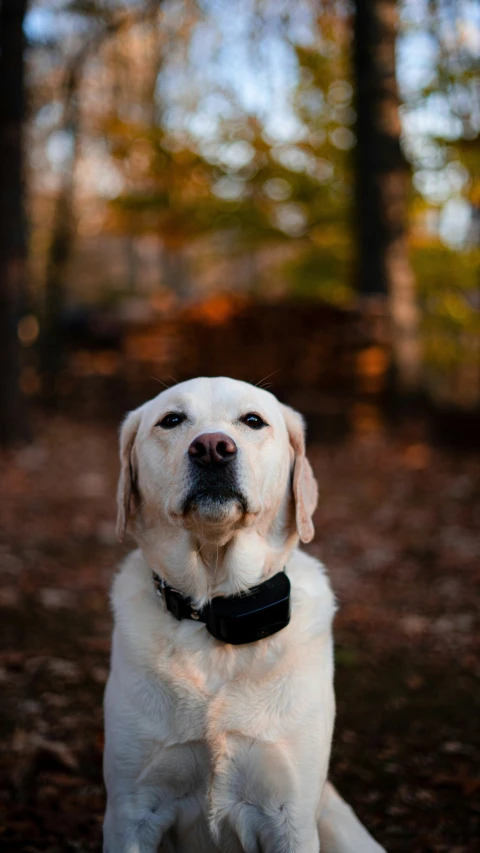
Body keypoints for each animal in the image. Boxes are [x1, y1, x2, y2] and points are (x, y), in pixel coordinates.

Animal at [102, 376, 386, 848]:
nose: (212, 448)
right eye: (171, 420)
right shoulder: (131, 812)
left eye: (253, 421)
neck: (215, 614)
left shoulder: (291, 817)